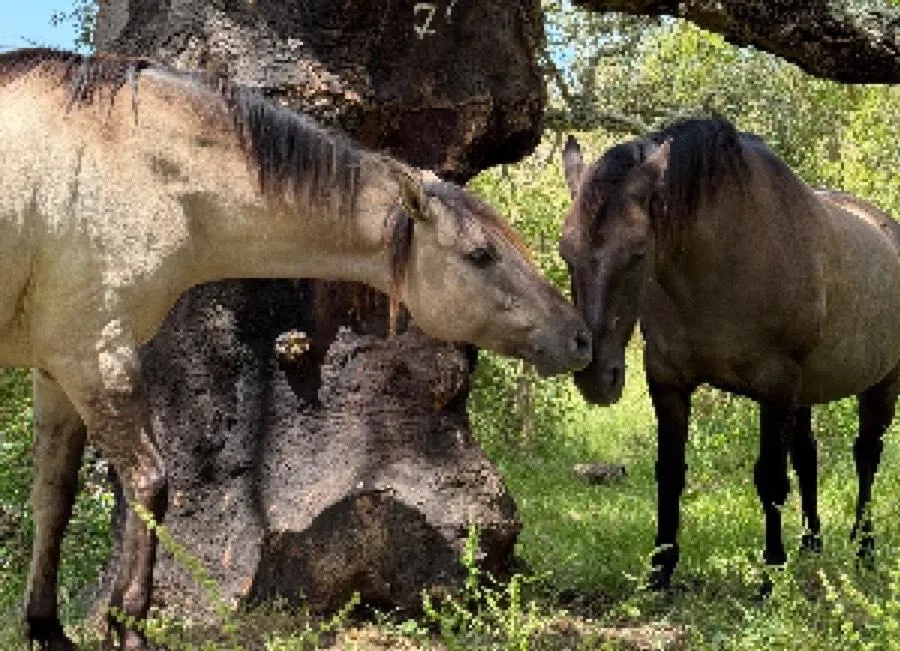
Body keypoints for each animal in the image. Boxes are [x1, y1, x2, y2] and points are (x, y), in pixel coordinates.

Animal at [0, 48, 591, 650]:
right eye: (480, 255)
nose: (579, 337)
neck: (128, 156)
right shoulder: (96, 354)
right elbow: (150, 485)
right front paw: (130, 628)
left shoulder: (57, 369)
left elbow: (53, 496)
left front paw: (46, 628)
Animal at [559, 117, 900, 590]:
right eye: (565, 252)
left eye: (638, 253)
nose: (595, 377)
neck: (721, 261)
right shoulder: (668, 381)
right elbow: (670, 472)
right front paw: (659, 572)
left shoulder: (776, 387)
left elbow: (770, 479)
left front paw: (770, 575)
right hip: (806, 394)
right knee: (808, 457)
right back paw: (811, 545)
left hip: (882, 384)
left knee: (866, 457)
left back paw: (864, 549)